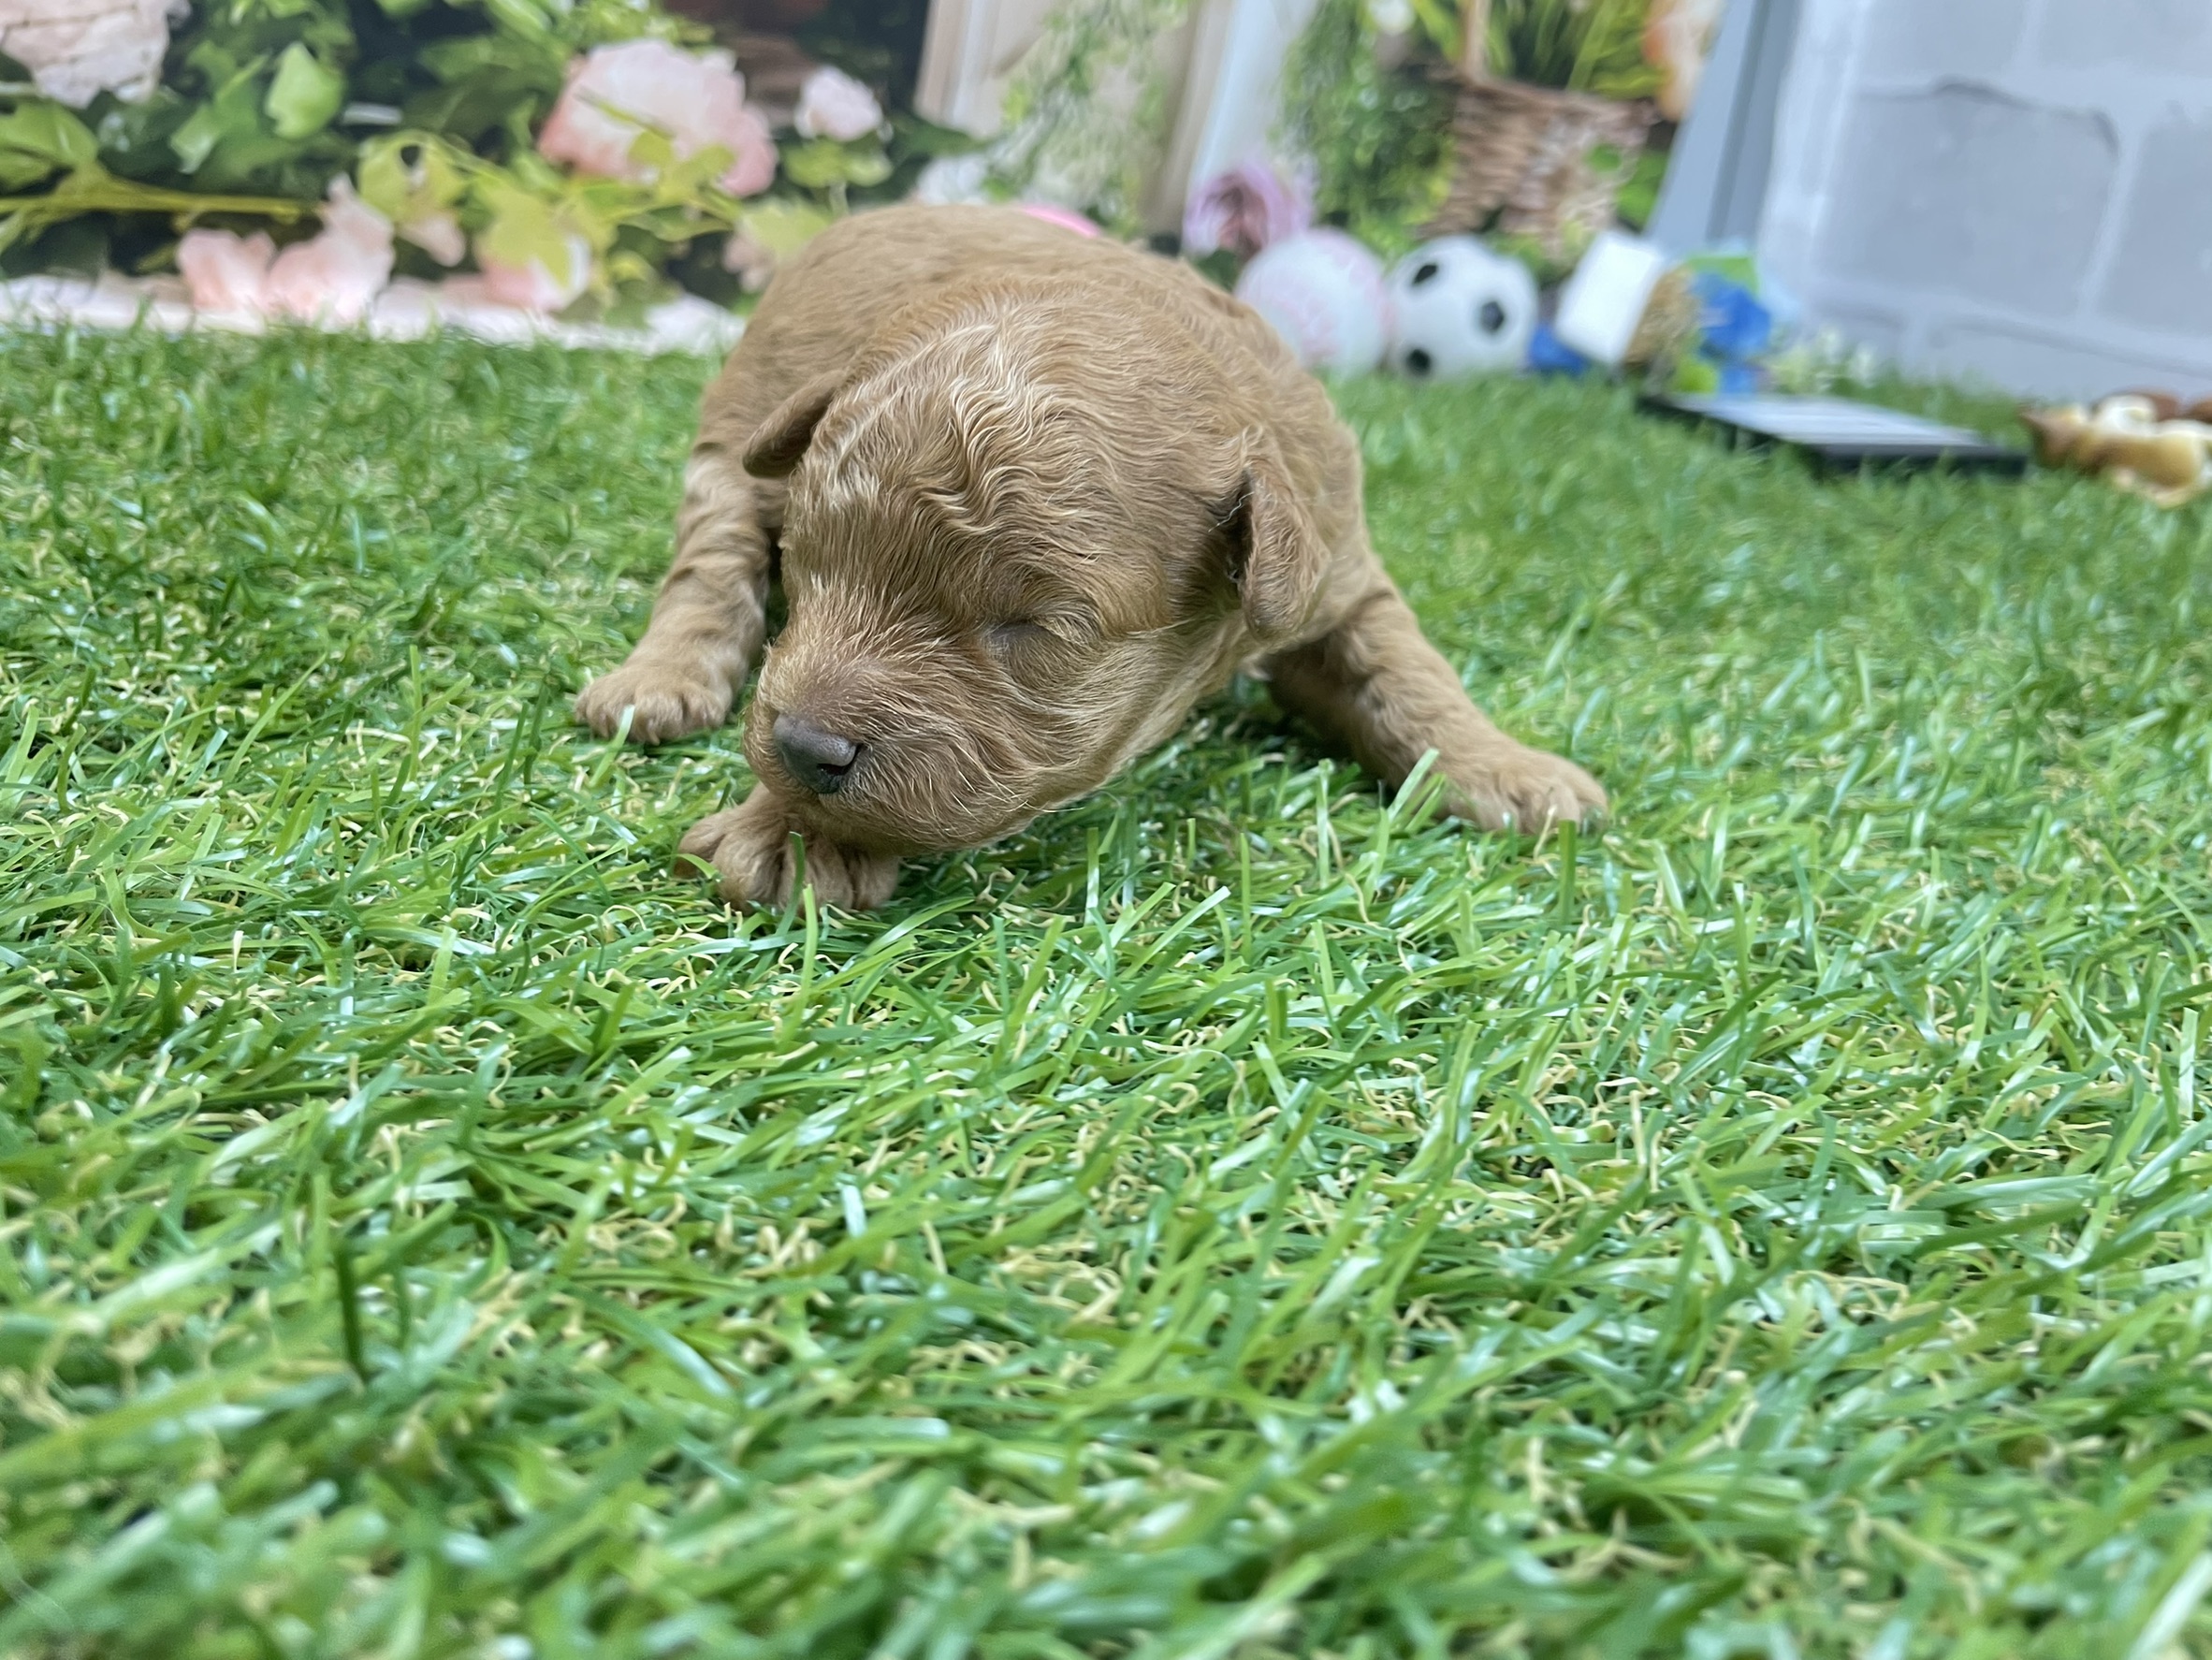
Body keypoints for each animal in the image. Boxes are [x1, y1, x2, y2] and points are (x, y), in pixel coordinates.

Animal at [575, 204, 1605, 910]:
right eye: (810, 564)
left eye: (1030, 628)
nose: (798, 746)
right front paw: (788, 833)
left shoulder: (1338, 574)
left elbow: (1412, 677)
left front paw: (1511, 771)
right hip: (730, 444)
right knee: (708, 568)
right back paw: (657, 682)